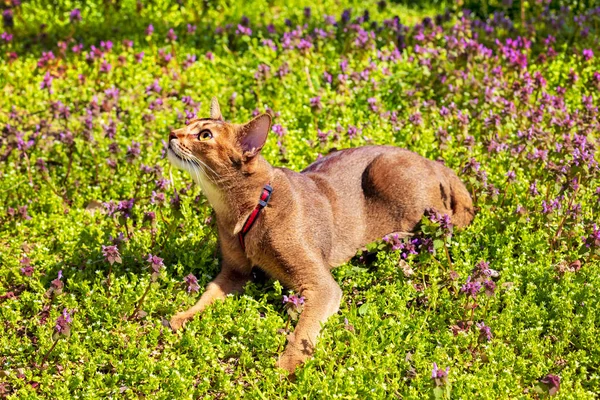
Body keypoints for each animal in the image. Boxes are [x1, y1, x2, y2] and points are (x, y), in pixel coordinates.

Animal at [165, 98, 474, 374]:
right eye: (188, 123)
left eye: (204, 135)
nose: (170, 133)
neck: (250, 207)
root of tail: (434, 162)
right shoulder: (234, 272)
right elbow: (208, 294)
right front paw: (182, 317)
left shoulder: (321, 285)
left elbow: (304, 329)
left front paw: (287, 367)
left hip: (384, 171)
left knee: (438, 224)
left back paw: (384, 242)